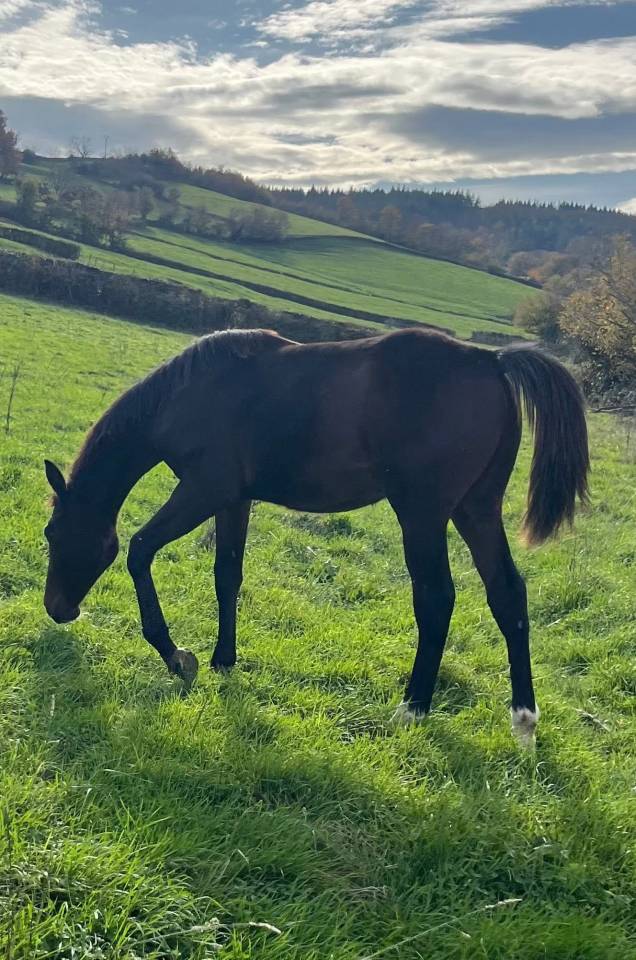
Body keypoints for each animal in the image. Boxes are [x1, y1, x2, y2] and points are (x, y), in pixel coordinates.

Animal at [43, 328, 589, 744]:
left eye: (52, 533)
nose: (57, 608)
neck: (191, 394)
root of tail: (491, 360)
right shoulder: (233, 500)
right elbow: (227, 575)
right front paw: (223, 661)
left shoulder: (202, 490)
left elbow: (139, 551)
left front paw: (177, 657)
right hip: (475, 510)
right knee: (507, 594)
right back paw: (523, 722)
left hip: (423, 514)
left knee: (436, 598)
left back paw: (413, 708)